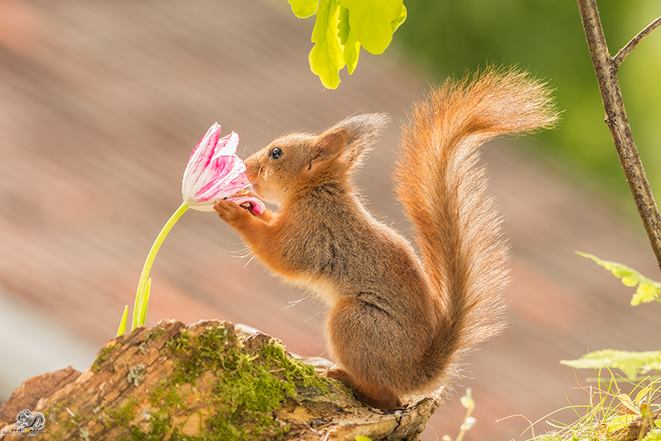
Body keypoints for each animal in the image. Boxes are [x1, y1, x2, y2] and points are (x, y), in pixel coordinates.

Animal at [214, 69, 556, 410]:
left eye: (277, 153)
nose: (245, 166)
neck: (314, 191)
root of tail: (415, 375)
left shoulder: (316, 232)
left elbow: (281, 255)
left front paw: (236, 214)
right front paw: (247, 204)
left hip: (356, 322)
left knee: (387, 399)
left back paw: (345, 377)